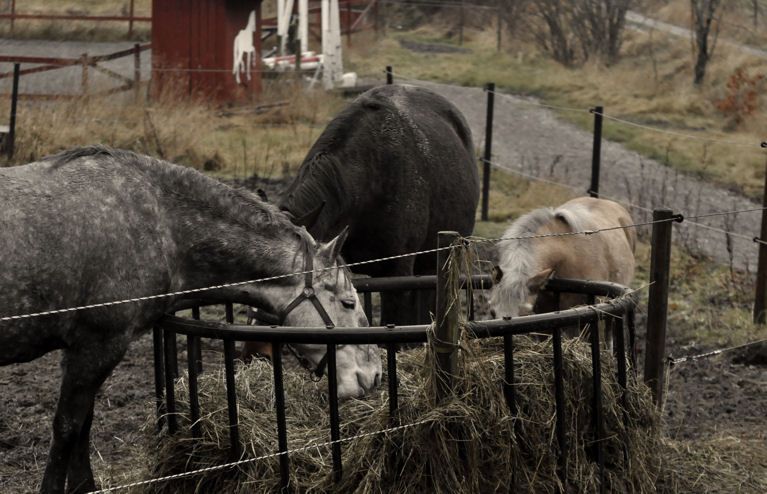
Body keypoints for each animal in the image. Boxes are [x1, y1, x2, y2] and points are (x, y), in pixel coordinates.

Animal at [0, 147, 382, 494]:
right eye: (348, 303)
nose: (373, 375)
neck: (161, 225)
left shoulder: (82, 350)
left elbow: (82, 427)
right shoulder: (98, 345)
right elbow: (67, 429)